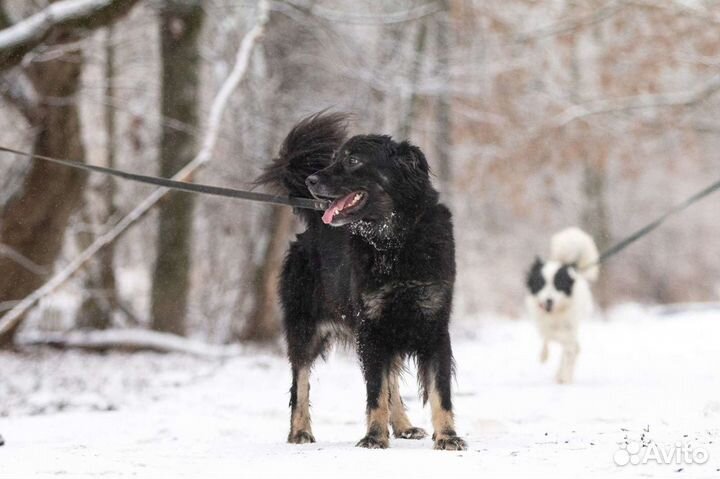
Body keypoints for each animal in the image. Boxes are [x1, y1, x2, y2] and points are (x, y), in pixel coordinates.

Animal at [258, 112, 466, 450]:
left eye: (353, 160)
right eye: (335, 158)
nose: (311, 181)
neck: (393, 242)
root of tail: (312, 227)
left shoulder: (432, 325)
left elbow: (439, 391)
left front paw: (448, 436)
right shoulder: (371, 327)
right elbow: (375, 392)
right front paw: (374, 437)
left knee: (392, 379)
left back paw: (404, 426)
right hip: (305, 330)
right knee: (300, 383)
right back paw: (299, 431)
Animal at [524, 229, 600, 386]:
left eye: (558, 285)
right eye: (540, 284)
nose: (549, 300)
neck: (555, 313)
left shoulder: (570, 330)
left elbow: (569, 350)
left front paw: (565, 377)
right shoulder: (544, 325)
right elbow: (547, 338)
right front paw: (543, 356)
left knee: (573, 349)